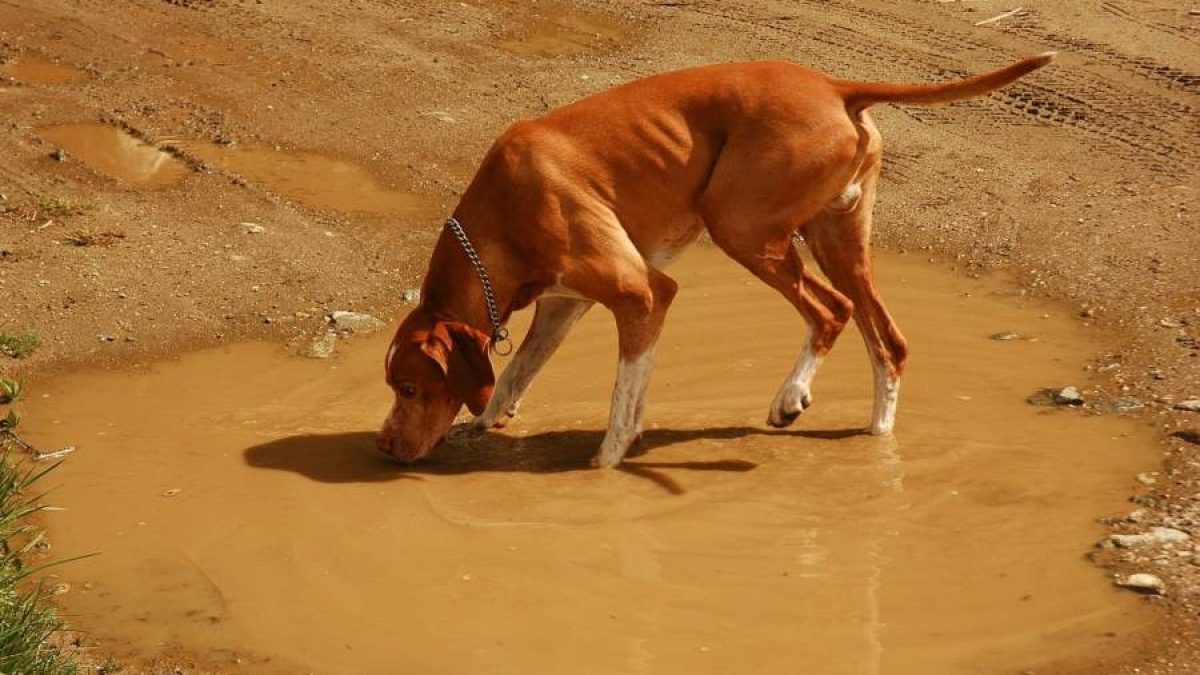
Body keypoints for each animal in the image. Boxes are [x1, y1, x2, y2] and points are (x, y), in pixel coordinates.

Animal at [379, 52, 1056, 466]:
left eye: (409, 387)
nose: (384, 446)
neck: (500, 213)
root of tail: (835, 86)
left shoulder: (643, 293)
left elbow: (621, 398)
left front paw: (604, 465)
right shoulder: (563, 308)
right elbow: (518, 373)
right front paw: (484, 423)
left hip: (742, 228)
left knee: (831, 312)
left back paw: (790, 397)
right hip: (838, 242)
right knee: (887, 340)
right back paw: (877, 438)